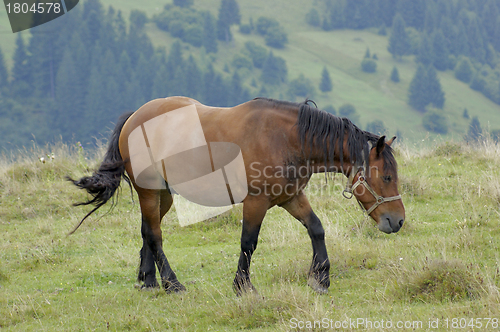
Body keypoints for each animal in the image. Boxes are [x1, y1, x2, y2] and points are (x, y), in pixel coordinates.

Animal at [69, 96, 406, 296]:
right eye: (387, 177)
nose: (398, 221)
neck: (287, 139)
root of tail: (134, 118)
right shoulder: (256, 202)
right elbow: (248, 242)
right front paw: (242, 285)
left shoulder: (290, 197)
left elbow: (316, 229)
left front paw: (320, 278)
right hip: (151, 192)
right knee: (154, 234)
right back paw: (173, 283)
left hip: (162, 195)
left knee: (147, 231)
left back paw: (149, 280)